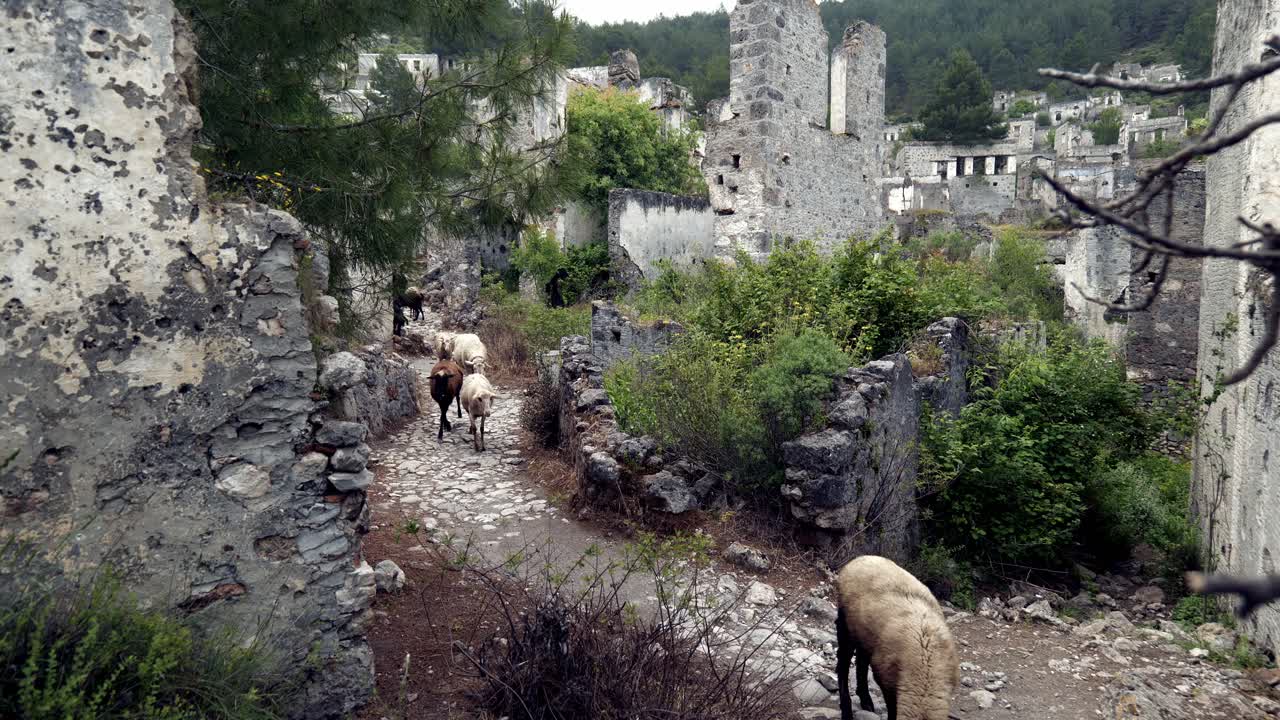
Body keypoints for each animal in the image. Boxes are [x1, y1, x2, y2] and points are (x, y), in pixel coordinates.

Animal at [834, 555, 959, 720]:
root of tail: (861, 558)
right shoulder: (887, 680)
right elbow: (892, 709)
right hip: (846, 627)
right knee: (843, 665)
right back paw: (847, 710)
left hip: (865, 635)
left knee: (861, 662)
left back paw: (866, 701)